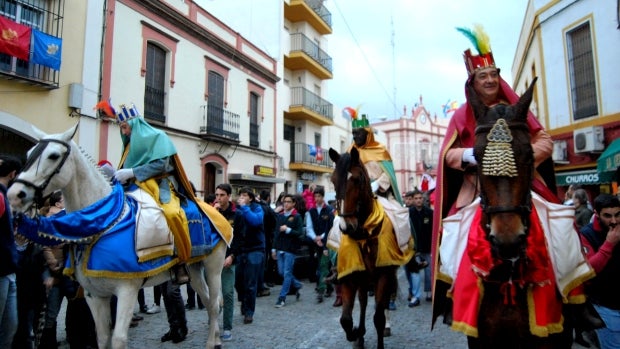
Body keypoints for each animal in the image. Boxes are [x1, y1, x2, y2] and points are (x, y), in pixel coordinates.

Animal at [8, 123, 228, 346]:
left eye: (53, 155)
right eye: (29, 153)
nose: (14, 194)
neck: (102, 220)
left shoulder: (127, 290)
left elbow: (118, 339)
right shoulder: (95, 295)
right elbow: (103, 337)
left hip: (213, 267)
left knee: (213, 304)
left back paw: (211, 343)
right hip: (194, 269)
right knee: (209, 300)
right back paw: (216, 338)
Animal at [326, 146, 400, 348]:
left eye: (357, 179)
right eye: (333, 181)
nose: (346, 227)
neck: (364, 233)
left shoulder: (383, 274)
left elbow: (378, 317)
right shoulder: (350, 274)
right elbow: (345, 319)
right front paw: (356, 333)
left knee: (385, 302)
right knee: (364, 301)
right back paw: (359, 337)